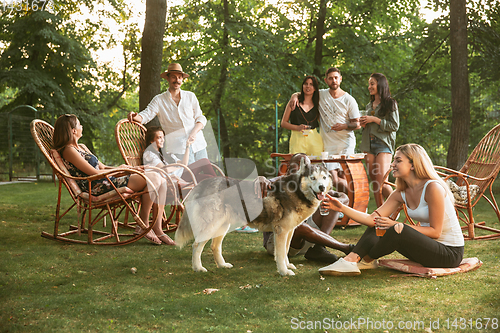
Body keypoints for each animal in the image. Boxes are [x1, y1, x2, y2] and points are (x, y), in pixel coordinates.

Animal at [176, 158, 332, 274]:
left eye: (324, 177)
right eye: (313, 178)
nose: (322, 187)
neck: (297, 190)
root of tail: (202, 183)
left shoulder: (290, 231)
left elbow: (286, 251)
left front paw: (287, 266)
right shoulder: (281, 231)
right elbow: (281, 254)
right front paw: (284, 271)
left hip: (222, 226)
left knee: (215, 246)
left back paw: (222, 265)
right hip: (212, 226)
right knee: (196, 245)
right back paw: (198, 268)